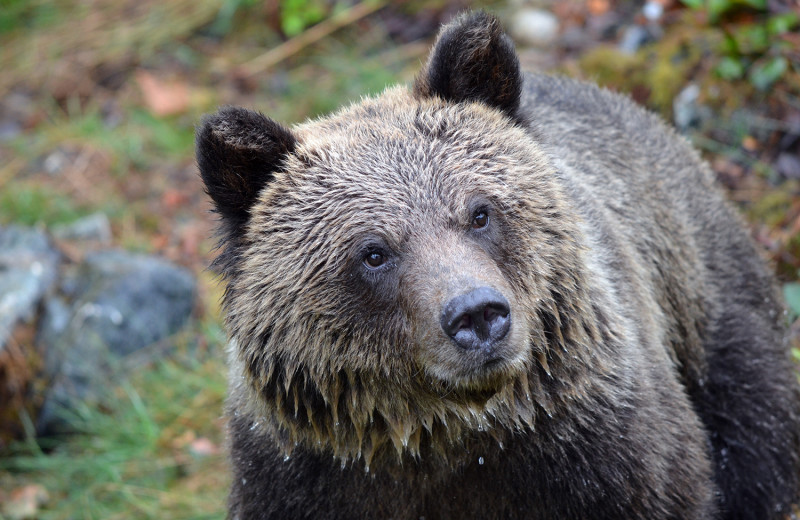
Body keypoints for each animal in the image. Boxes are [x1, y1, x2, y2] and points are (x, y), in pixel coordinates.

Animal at [198, 9, 800, 520]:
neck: (449, 438)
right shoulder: (301, 475)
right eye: (373, 252)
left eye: (480, 212)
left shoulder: (605, 451)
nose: (478, 315)